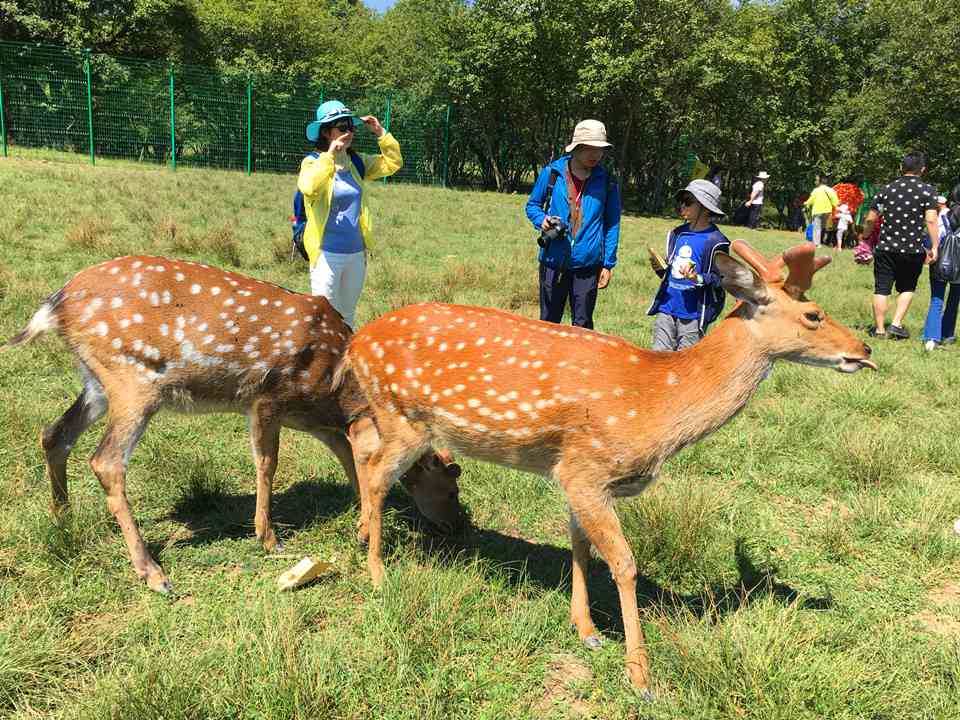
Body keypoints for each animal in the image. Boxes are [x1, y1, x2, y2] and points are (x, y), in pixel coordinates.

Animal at [2, 256, 462, 592]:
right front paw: (269, 538)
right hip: (132, 379)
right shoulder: (267, 397)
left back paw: (63, 518)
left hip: (97, 382)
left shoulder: (319, 420)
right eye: (450, 487)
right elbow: (268, 463)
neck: (335, 390)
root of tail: (55, 305)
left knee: (54, 434)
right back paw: (153, 573)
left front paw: (361, 528)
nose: (455, 527)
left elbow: (350, 460)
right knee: (106, 461)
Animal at [338, 243, 876, 696]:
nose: (866, 350)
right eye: (813, 314)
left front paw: (588, 630)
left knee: (361, 447)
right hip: (404, 414)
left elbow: (579, 544)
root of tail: (355, 343)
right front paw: (640, 676)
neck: (659, 406)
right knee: (378, 472)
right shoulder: (587, 468)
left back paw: (364, 539)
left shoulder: (578, 475)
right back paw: (378, 572)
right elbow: (624, 563)